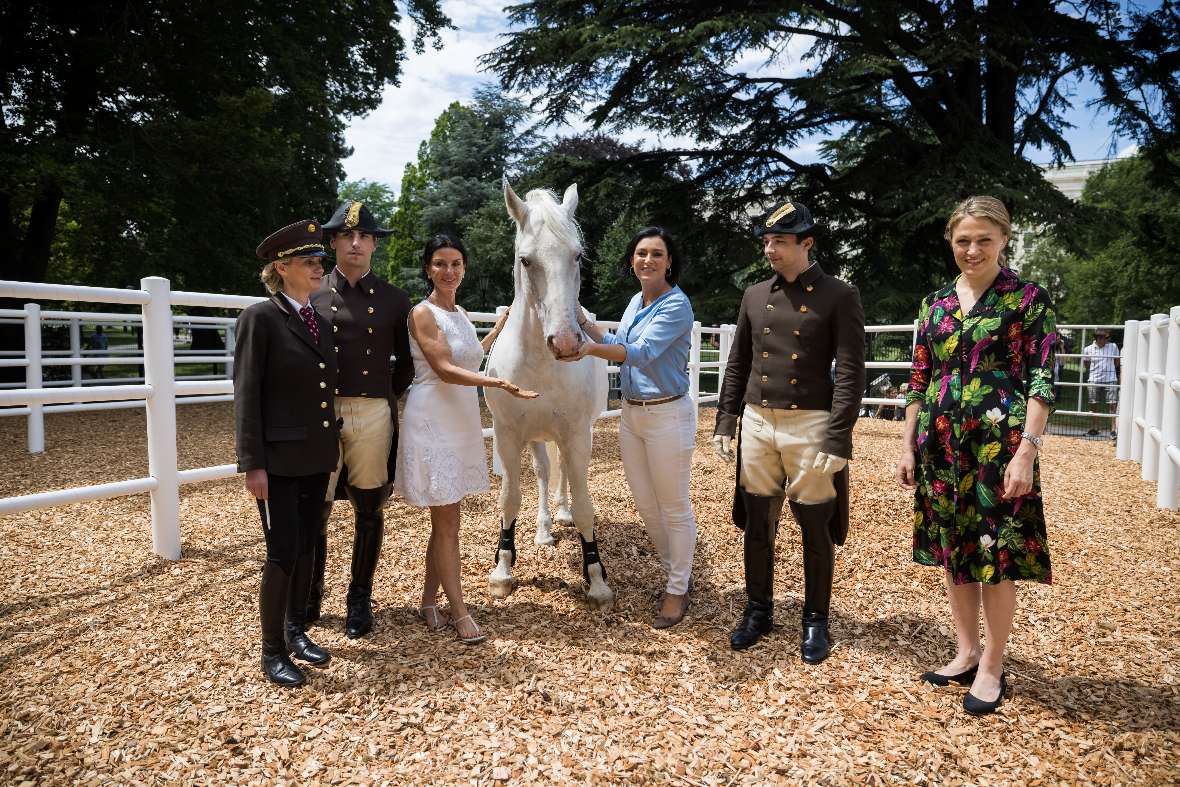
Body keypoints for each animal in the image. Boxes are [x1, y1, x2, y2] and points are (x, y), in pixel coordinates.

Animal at [483, 176, 613, 608]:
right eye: (526, 260)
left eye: (577, 256)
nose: (567, 342)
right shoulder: (507, 435)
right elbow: (509, 498)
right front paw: (503, 570)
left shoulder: (576, 433)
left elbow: (586, 503)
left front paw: (597, 578)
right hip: (537, 436)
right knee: (542, 473)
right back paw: (543, 529)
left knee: (566, 476)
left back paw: (562, 514)